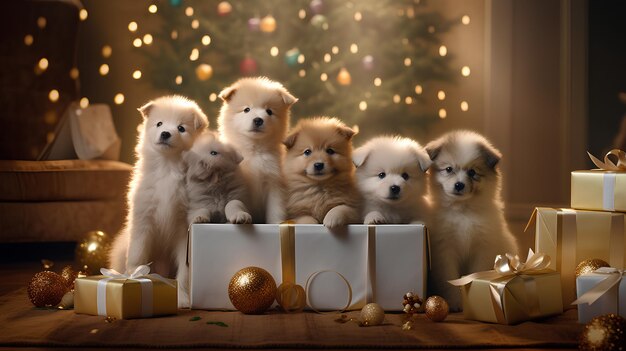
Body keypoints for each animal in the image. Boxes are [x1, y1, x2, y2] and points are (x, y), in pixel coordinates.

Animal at [109, 95, 210, 308]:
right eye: (159, 124)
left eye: (181, 128)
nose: (165, 133)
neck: (167, 166)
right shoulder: (143, 217)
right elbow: (137, 254)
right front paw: (134, 278)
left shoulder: (184, 230)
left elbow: (185, 272)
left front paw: (182, 298)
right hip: (121, 249)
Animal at [217, 78, 298, 224]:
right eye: (246, 109)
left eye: (269, 111)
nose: (258, 120)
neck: (254, 151)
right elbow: (235, 203)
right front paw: (239, 215)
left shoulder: (274, 183)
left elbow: (276, 209)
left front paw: (276, 223)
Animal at [424, 131, 516, 312]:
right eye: (449, 169)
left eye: (473, 172)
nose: (459, 185)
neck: (463, 210)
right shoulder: (444, 250)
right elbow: (449, 278)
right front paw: (454, 302)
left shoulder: (482, 248)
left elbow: (476, 275)